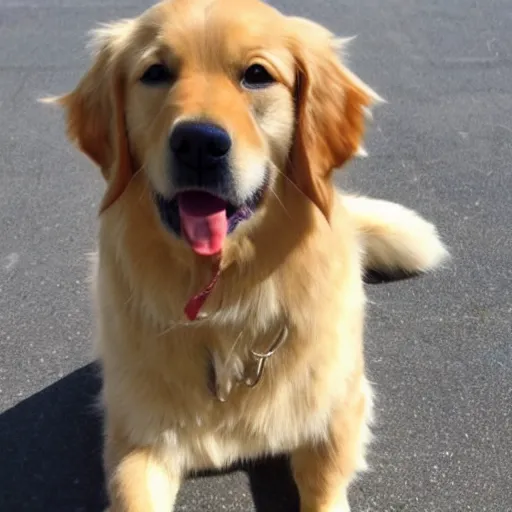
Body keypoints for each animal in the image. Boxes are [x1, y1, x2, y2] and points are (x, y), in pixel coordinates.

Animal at [48, 0, 448, 510]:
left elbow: (324, 481)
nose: (199, 142)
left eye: (256, 75)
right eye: (155, 72)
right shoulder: (136, 438)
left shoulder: (339, 407)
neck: (225, 303)